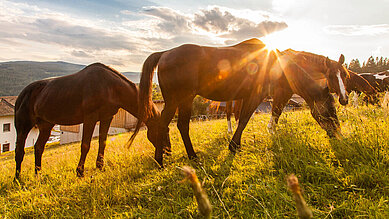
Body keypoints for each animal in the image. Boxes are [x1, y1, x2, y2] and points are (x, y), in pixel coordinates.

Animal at [14, 62, 167, 179]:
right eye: (162, 131)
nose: (168, 152)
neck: (109, 86)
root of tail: (22, 94)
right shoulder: (90, 118)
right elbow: (85, 145)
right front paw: (80, 172)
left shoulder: (107, 117)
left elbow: (102, 142)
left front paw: (100, 167)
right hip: (23, 126)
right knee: (19, 151)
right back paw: (17, 178)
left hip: (46, 125)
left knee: (38, 148)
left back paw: (38, 174)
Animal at [132, 39, 348, 166]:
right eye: (329, 109)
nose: (338, 135)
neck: (278, 64)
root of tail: (165, 53)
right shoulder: (258, 95)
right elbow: (245, 118)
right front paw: (234, 146)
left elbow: (246, 117)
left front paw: (238, 143)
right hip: (175, 100)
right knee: (163, 125)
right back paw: (159, 160)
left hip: (185, 99)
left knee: (182, 126)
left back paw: (192, 156)